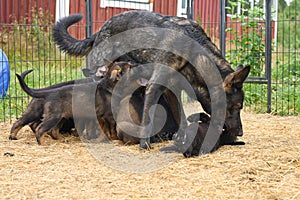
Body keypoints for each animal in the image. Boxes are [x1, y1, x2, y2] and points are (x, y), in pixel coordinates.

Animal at [52, 10, 251, 149]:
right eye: (236, 107)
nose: (241, 133)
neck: (193, 52)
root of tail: (98, 31)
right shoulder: (154, 87)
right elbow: (148, 118)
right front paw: (144, 144)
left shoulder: (171, 90)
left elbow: (181, 116)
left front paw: (182, 137)